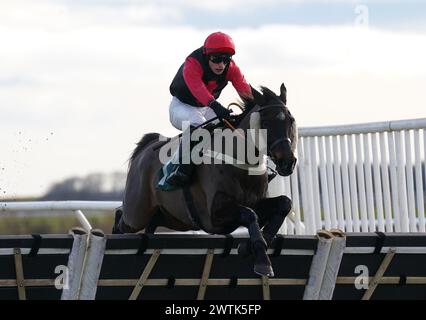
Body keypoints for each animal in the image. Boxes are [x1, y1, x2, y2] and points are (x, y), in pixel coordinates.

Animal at [115, 84, 298, 276]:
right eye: (265, 123)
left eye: (291, 121)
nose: (288, 162)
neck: (240, 162)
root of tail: (144, 150)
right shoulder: (214, 215)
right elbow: (249, 214)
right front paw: (263, 261)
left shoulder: (256, 202)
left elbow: (284, 203)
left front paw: (250, 246)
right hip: (136, 214)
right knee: (120, 217)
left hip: (172, 218)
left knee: (150, 222)